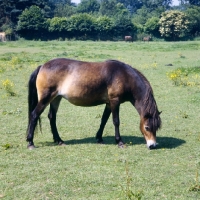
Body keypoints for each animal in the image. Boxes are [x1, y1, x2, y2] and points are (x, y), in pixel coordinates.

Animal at [26, 57, 161, 148]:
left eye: (157, 127)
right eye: (147, 127)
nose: (153, 145)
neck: (124, 76)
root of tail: (42, 66)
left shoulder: (108, 103)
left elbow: (104, 120)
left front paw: (99, 138)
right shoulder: (115, 101)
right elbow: (116, 121)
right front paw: (119, 141)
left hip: (56, 98)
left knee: (52, 117)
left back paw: (59, 140)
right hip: (46, 98)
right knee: (34, 115)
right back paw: (30, 142)